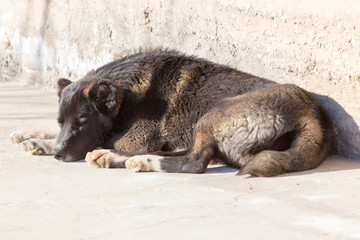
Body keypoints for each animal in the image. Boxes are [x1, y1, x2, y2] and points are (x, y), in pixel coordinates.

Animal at [10, 49, 332, 176]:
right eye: (61, 122)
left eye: (82, 121)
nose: (57, 156)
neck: (128, 96)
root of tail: (313, 114)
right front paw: (36, 138)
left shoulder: (134, 139)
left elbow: (106, 140)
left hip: (212, 115)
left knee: (194, 162)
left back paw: (130, 160)